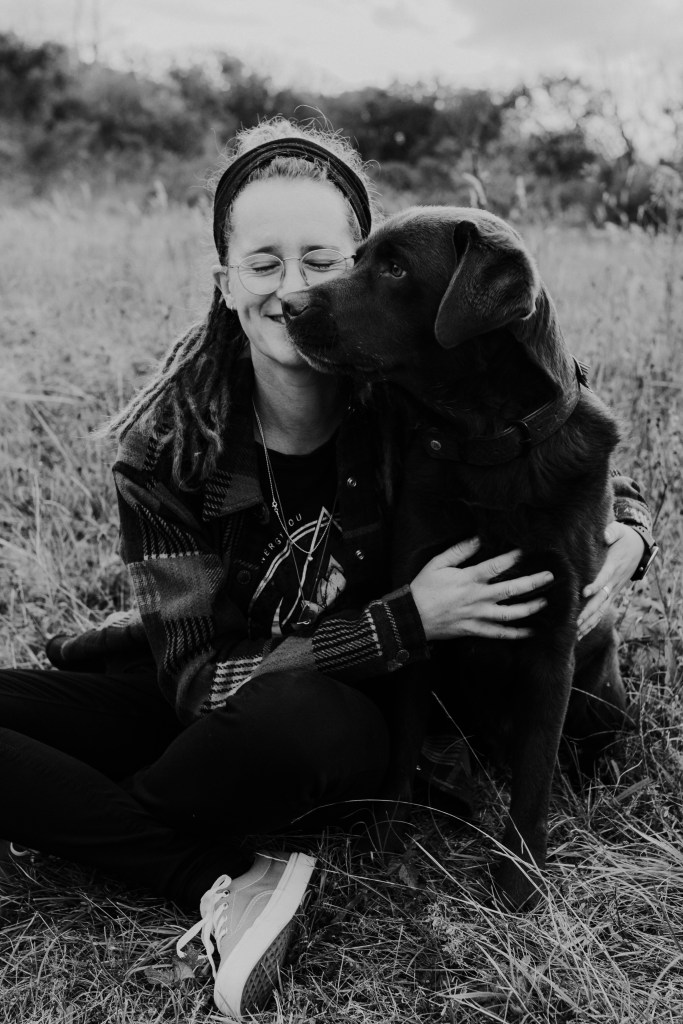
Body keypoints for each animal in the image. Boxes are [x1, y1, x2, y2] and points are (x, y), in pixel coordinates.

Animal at [282, 206, 626, 909]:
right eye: (356, 258)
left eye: (395, 268)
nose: (287, 305)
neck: (491, 449)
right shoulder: (420, 611)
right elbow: (401, 749)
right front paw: (389, 844)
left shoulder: (555, 635)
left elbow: (535, 775)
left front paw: (521, 881)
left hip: (601, 673)